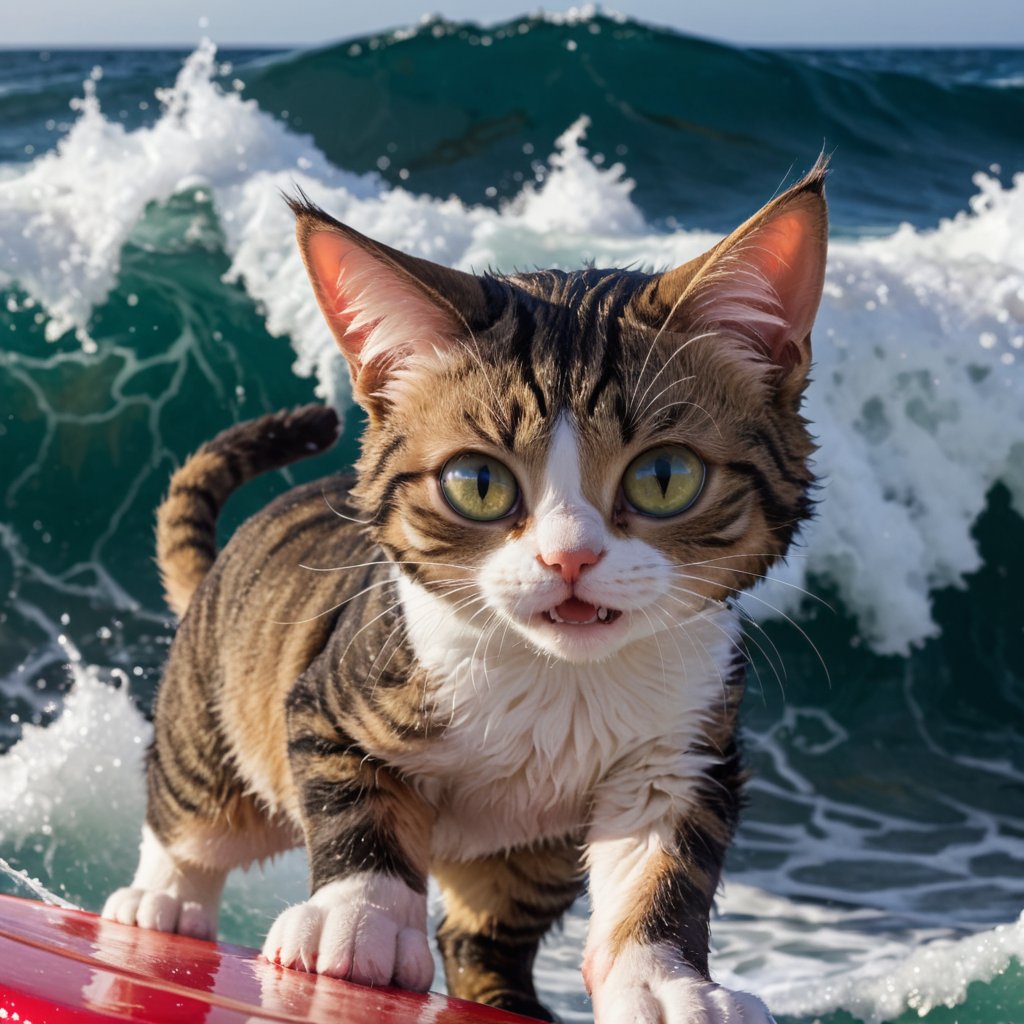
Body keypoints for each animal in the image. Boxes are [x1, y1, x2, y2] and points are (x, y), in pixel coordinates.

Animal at [103, 161, 827, 1024]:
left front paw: (662, 982)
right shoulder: (331, 696)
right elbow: (358, 807)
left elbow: (664, 867)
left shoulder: (682, 746)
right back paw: (163, 901)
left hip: (528, 855)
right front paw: (359, 919)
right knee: (193, 822)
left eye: (664, 477)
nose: (569, 557)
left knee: (476, 933)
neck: (557, 678)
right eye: (479, 484)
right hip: (213, 726)